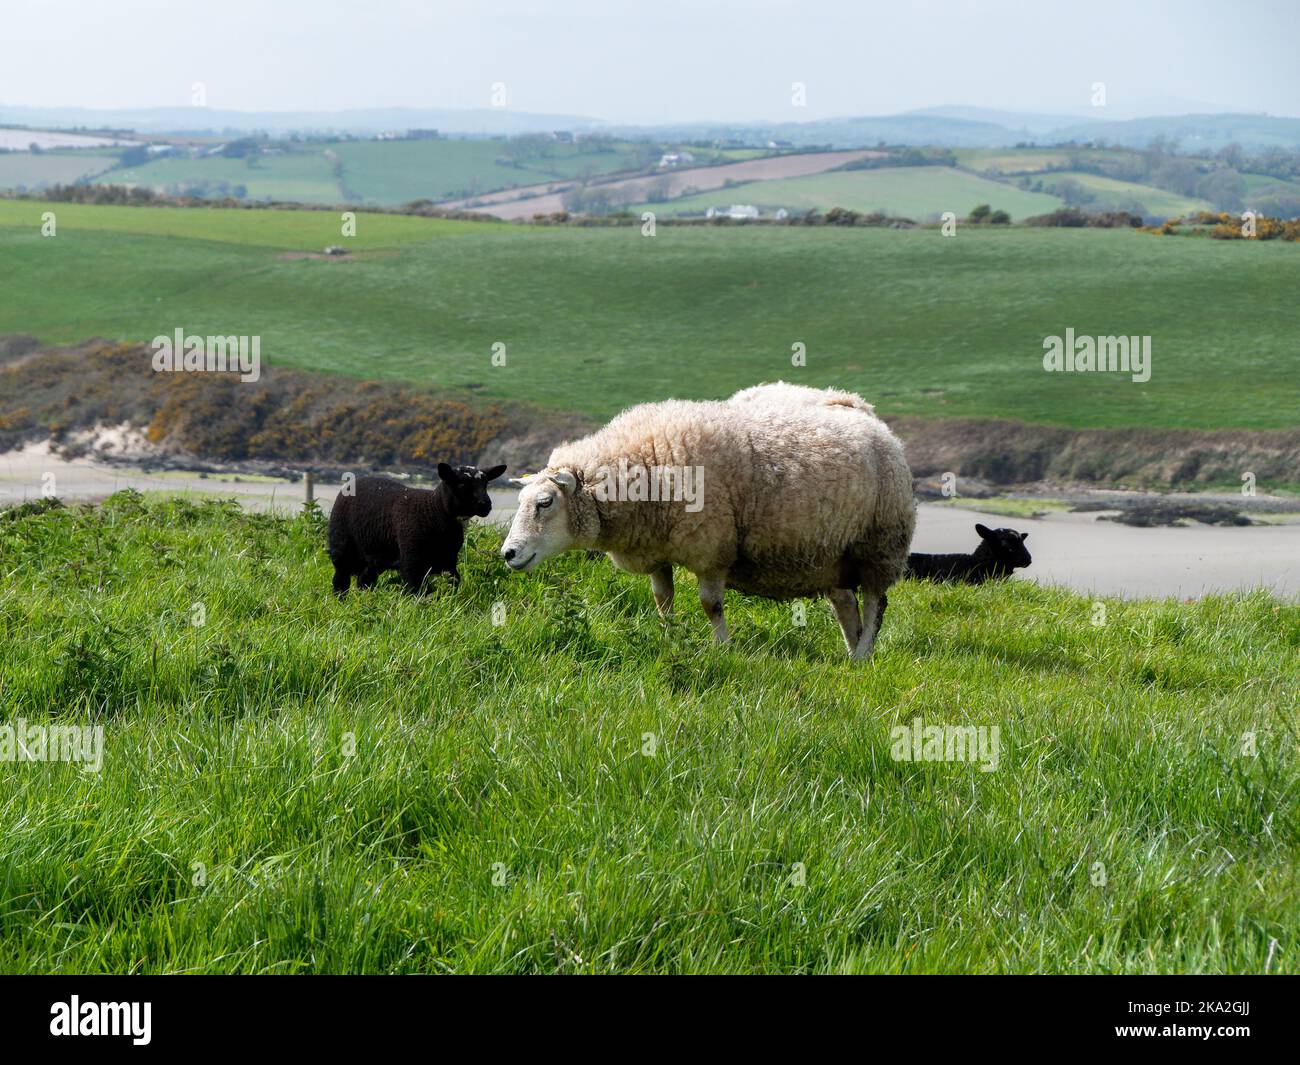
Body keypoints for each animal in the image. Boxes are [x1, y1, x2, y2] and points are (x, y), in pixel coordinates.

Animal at [328, 463, 506, 595]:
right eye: (462, 484)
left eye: (486, 484)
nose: (486, 505)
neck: (433, 509)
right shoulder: (410, 561)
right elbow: (418, 591)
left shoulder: (449, 560)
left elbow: (453, 584)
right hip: (341, 547)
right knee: (340, 580)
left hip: (377, 555)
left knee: (364, 580)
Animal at [500, 391, 914, 659]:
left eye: (545, 503)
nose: (509, 553)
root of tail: (868, 414)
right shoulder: (657, 549)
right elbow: (662, 600)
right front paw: (669, 639)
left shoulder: (711, 548)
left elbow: (710, 605)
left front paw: (722, 650)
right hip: (834, 554)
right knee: (846, 605)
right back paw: (851, 653)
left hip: (880, 544)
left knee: (875, 603)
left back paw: (863, 655)